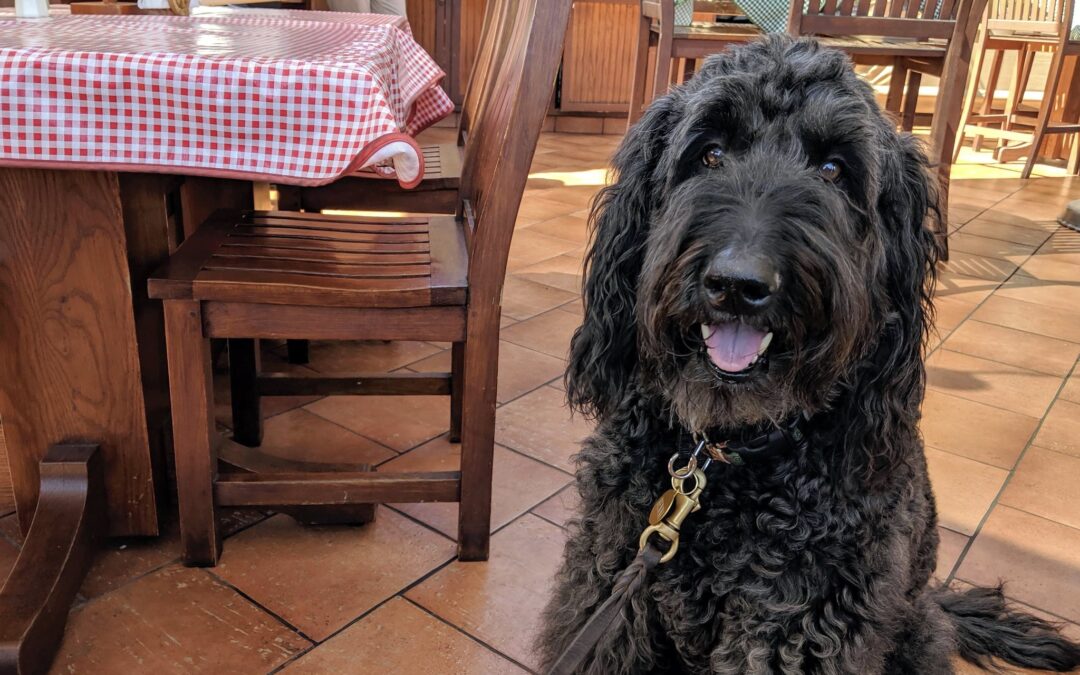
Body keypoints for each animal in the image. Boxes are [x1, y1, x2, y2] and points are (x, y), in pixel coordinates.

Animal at [537, 36, 1080, 673]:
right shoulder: (608, 584)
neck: (727, 460)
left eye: (833, 169)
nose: (737, 283)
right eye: (710, 153)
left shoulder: (800, 624)